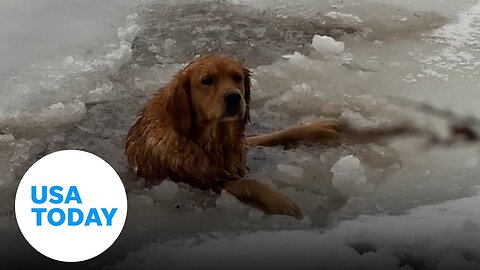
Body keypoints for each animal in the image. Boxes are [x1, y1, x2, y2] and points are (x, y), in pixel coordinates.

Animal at [125, 53, 340, 218]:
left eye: (236, 77)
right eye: (207, 80)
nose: (234, 97)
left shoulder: (239, 146)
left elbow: (276, 134)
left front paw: (322, 127)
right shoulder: (202, 182)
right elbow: (250, 183)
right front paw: (282, 203)